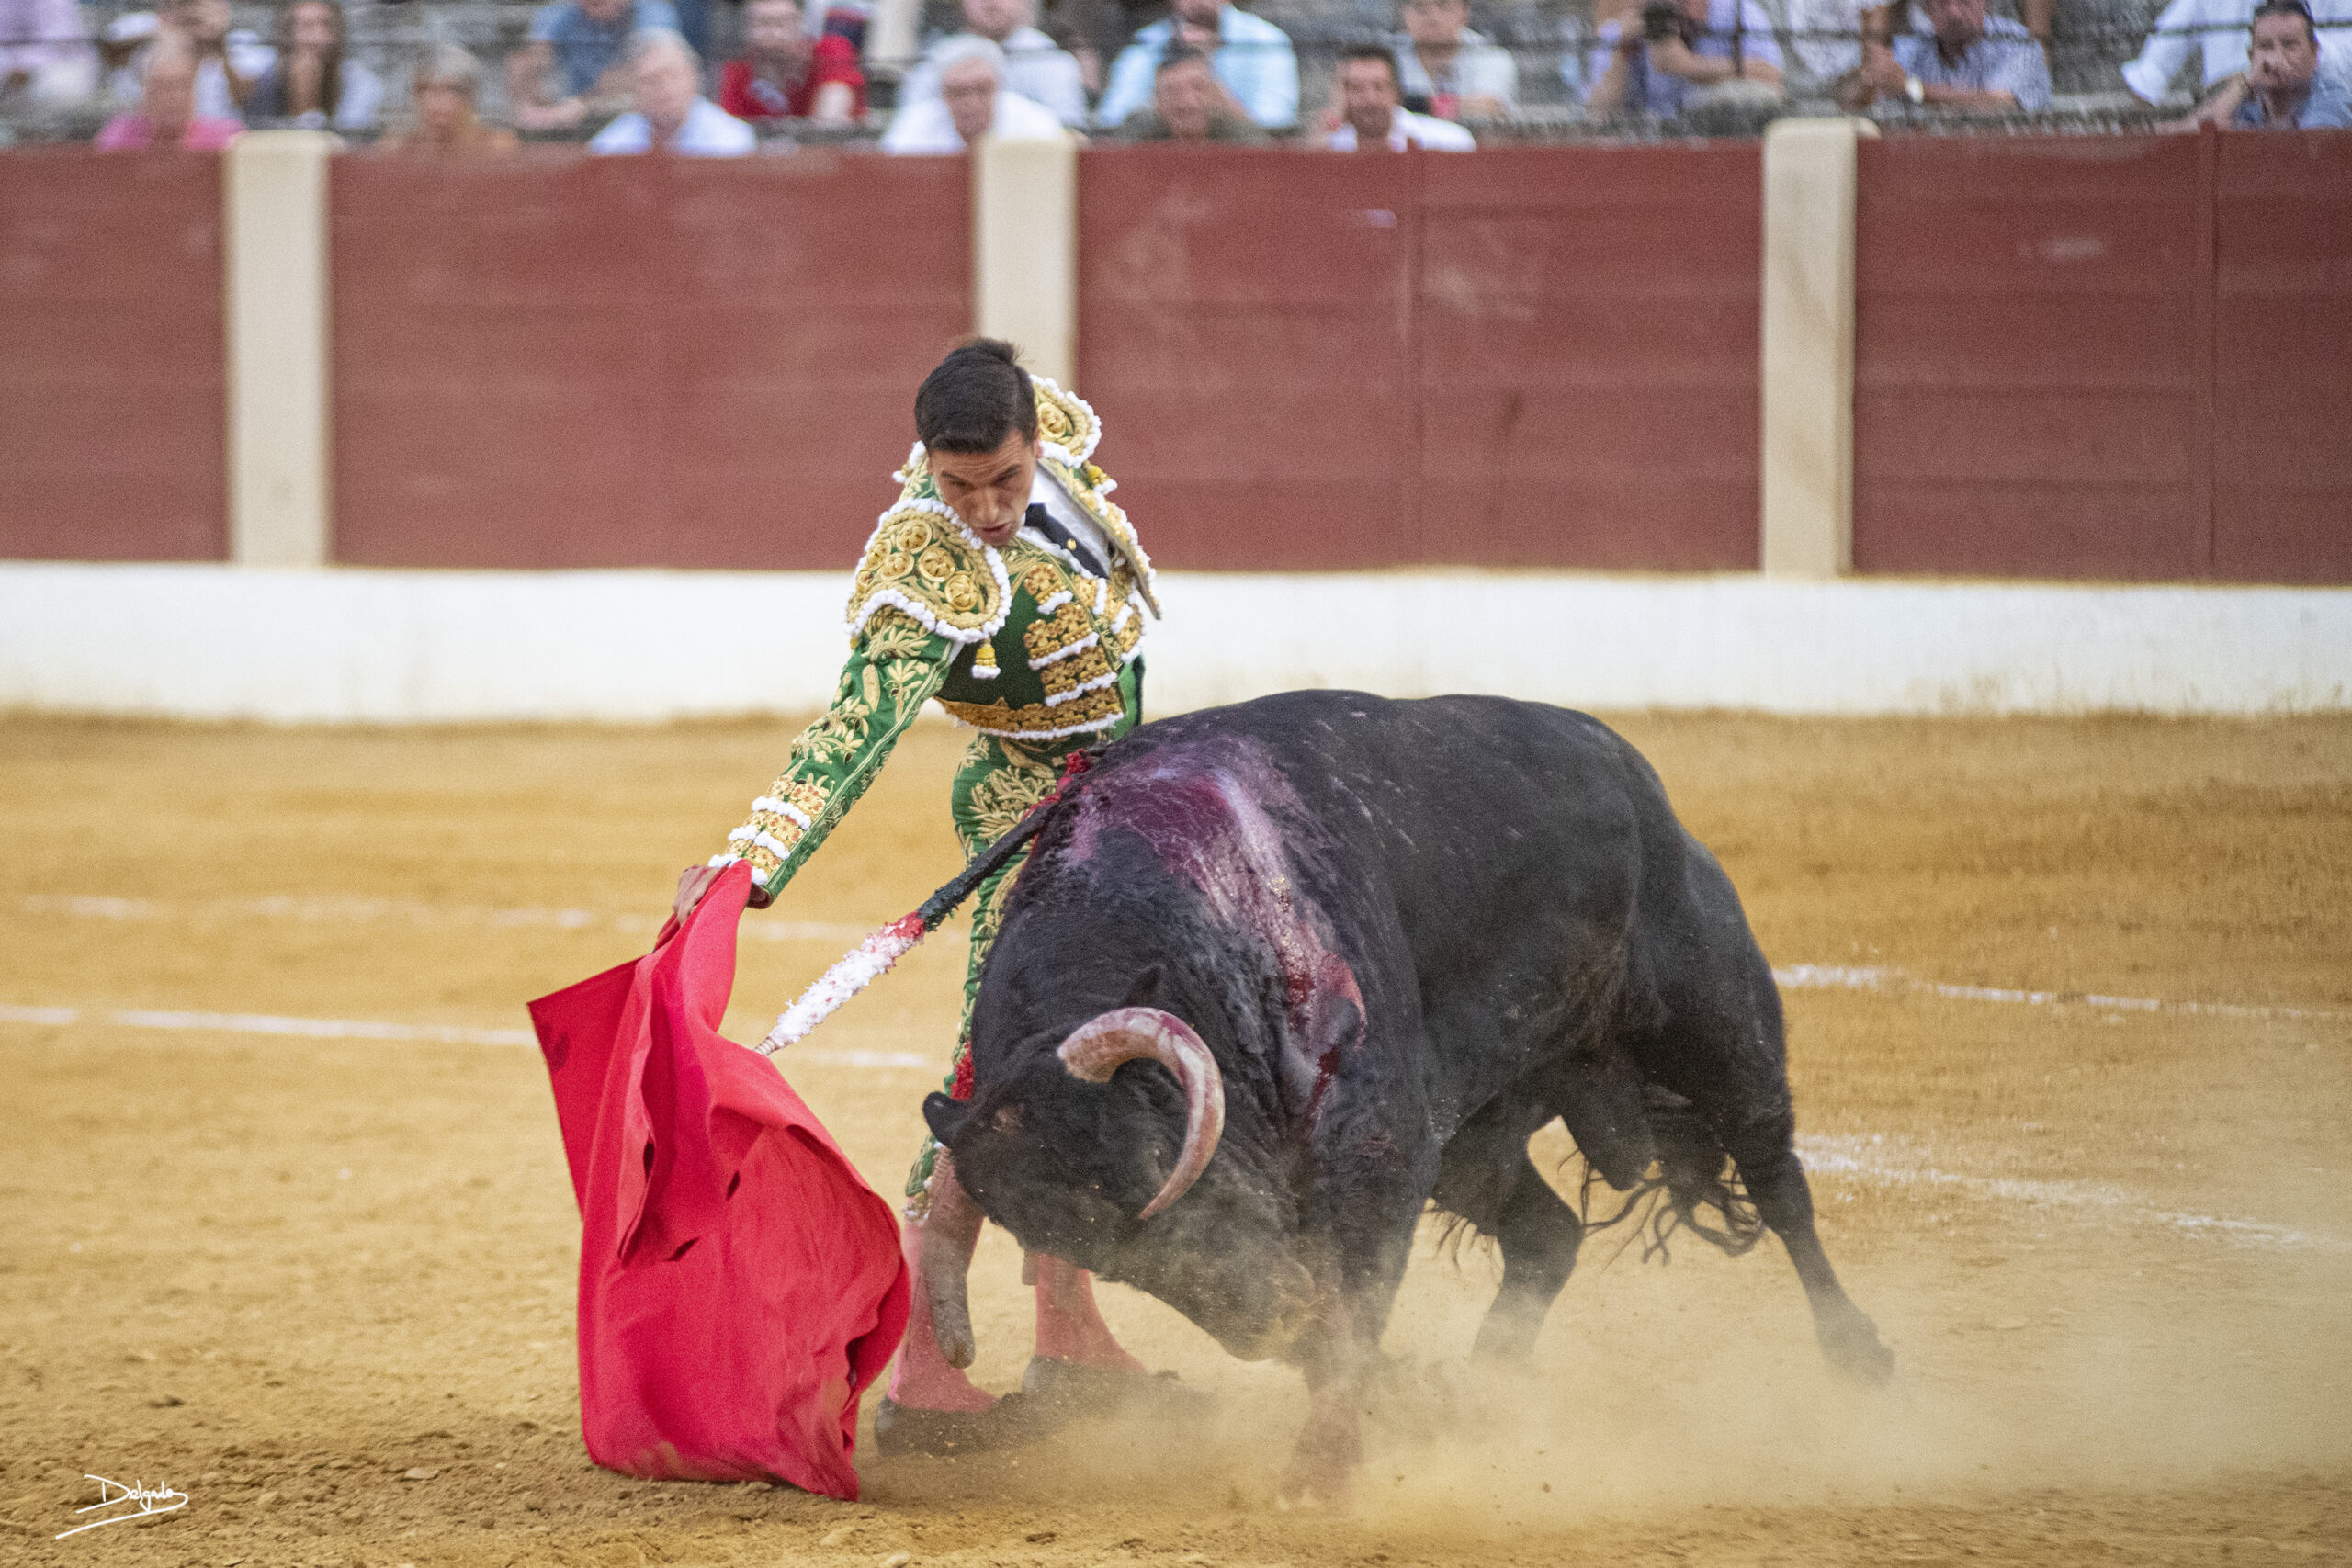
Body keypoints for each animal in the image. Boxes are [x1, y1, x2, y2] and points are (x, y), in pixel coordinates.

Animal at [917, 695, 1891, 1495]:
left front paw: (1323, 1467)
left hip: (1720, 1031)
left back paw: (1858, 1355)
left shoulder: (1377, 1150)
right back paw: (1480, 1390)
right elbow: (1336, 1325)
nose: (1264, 1320)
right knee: (1548, 1234)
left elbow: (1355, 1303)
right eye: (1095, 1252)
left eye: (1150, 1164)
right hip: (1473, 1142)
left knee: (1779, 1184)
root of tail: (1627, 767)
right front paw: (1393, 1406)